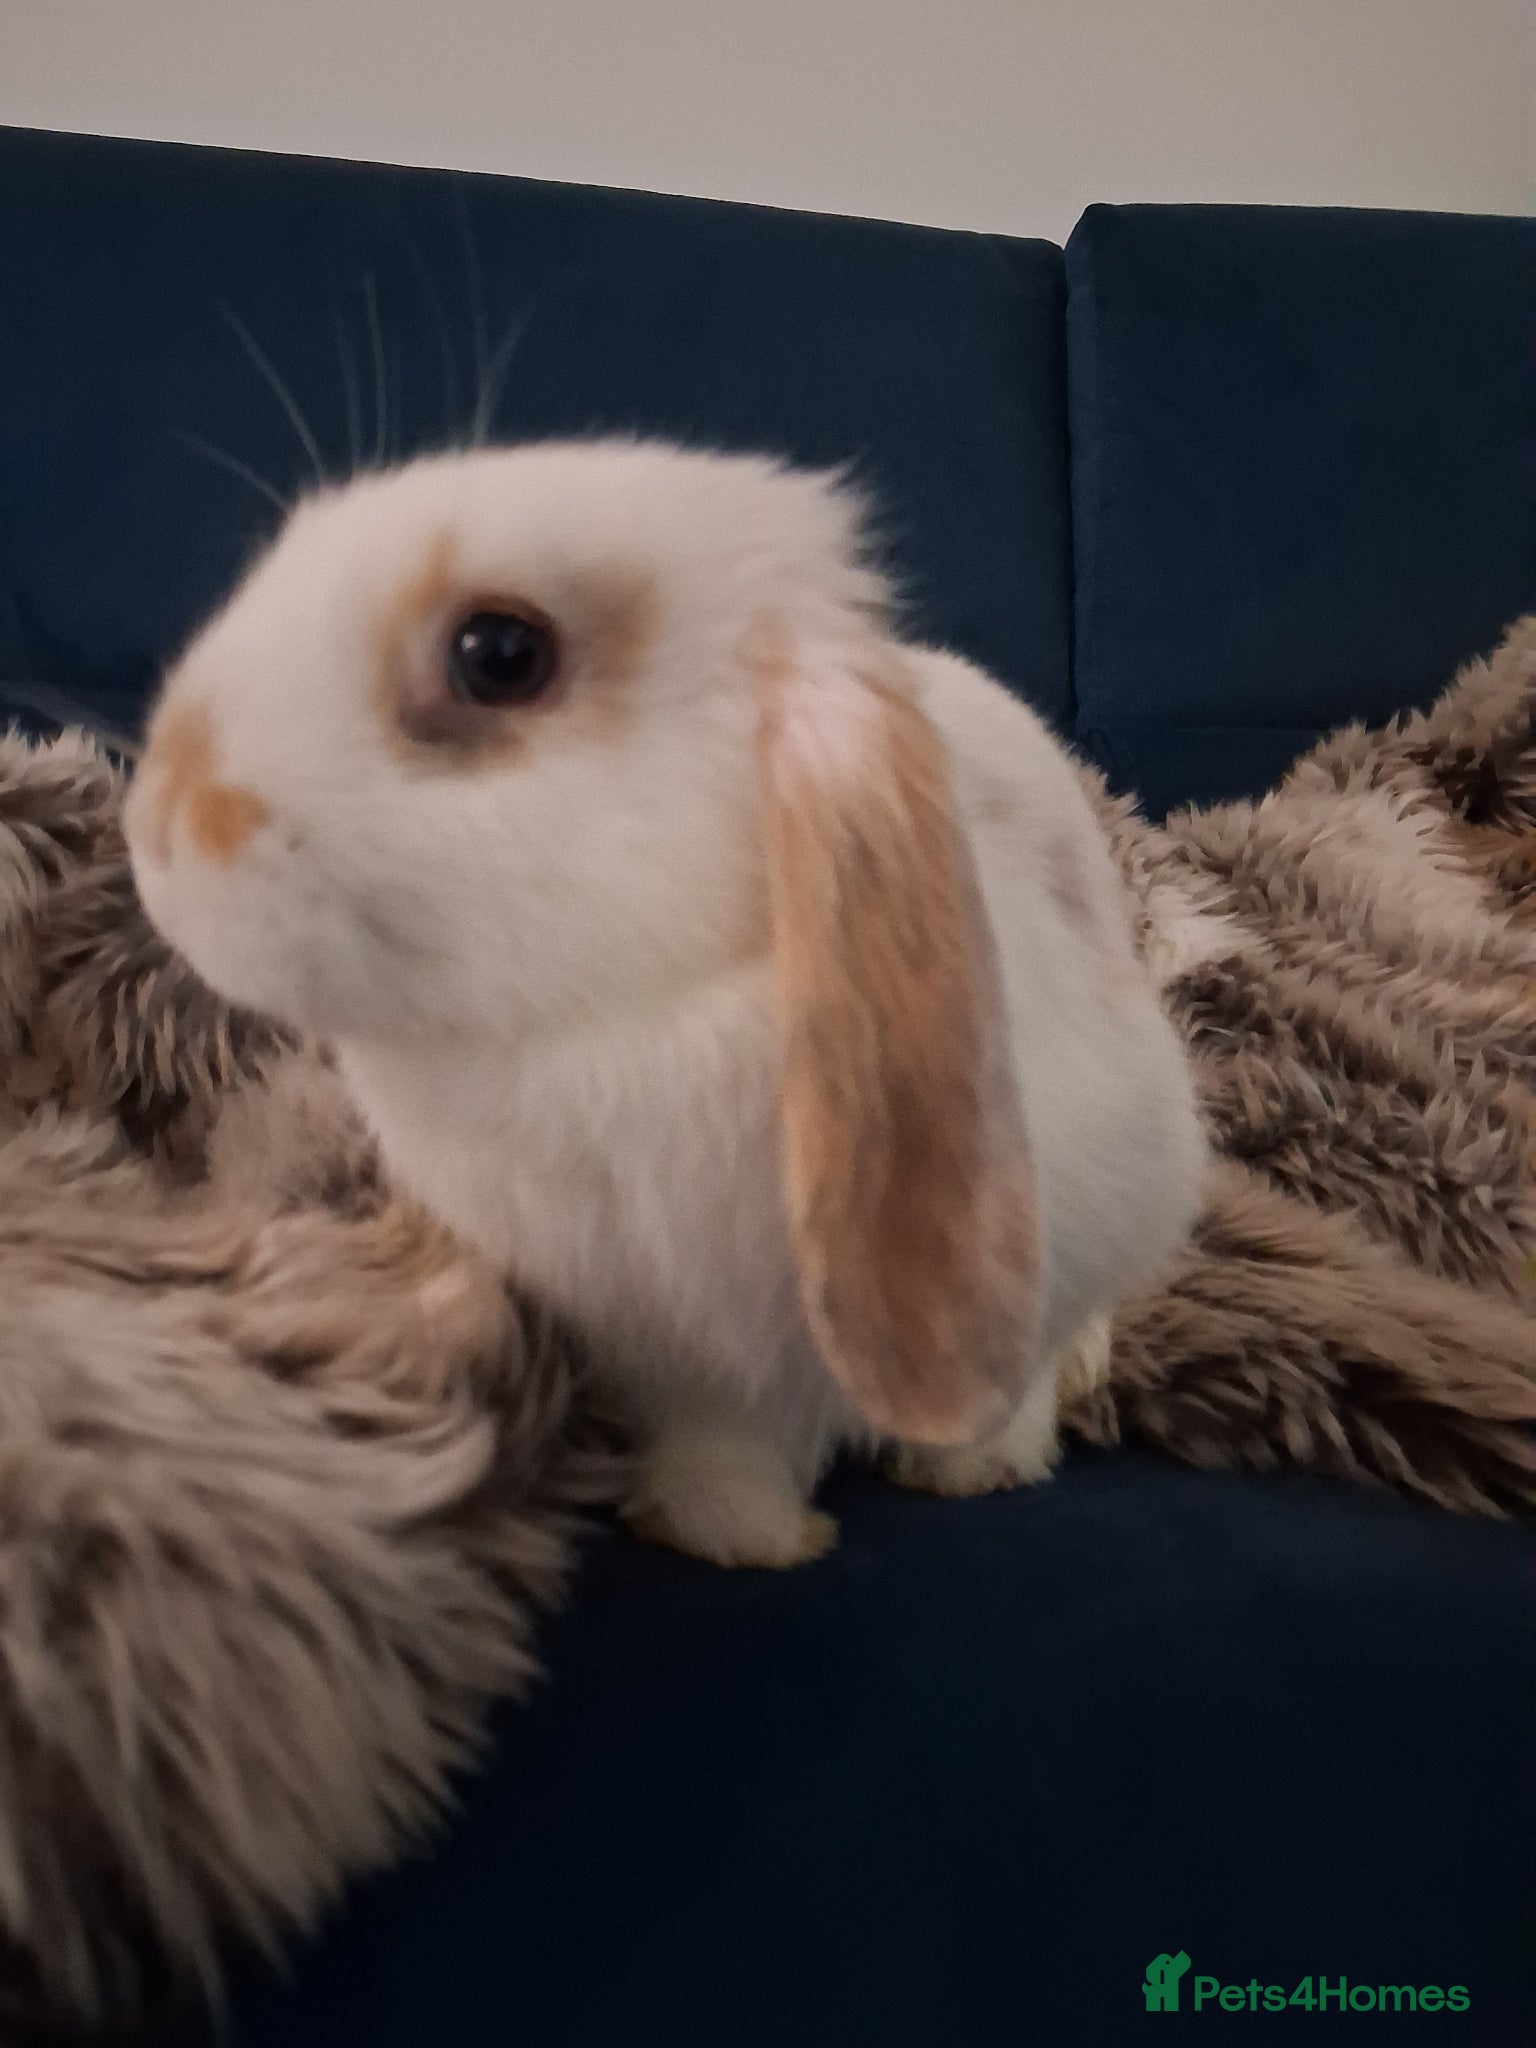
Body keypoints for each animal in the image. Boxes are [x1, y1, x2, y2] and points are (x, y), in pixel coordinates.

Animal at [124, 438, 1207, 1568]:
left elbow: (1010, 1388)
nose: (154, 822)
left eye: (499, 653)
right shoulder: (664, 1348)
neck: (617, 1029)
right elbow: (717, 1441)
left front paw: (977, 1468)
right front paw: (729, 1534)